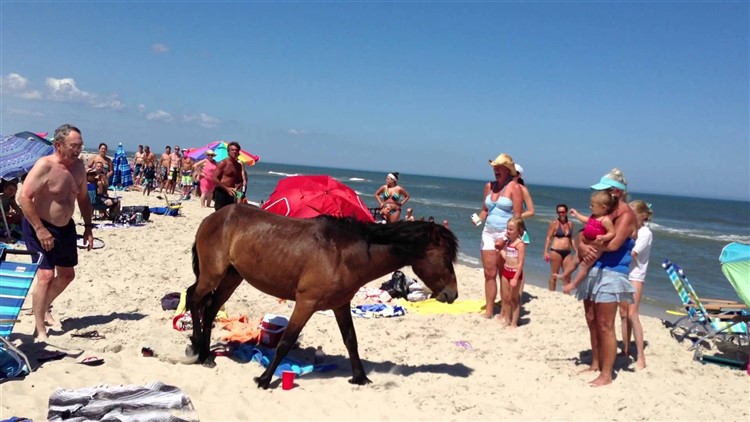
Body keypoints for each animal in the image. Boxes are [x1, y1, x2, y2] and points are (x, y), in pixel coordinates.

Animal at [188, 204, 458, 390]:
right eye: (445, 258)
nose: (452, 294)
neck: (343, 254)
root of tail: (215, 217)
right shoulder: (306, 303)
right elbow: (286, 340)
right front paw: (264, 379)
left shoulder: (340, 305)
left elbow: (351, 340)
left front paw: (360, 377)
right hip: (213, 275)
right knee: (194, 298)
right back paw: (199, 350)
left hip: (231, 278)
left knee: (209, 309)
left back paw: (206, 355)